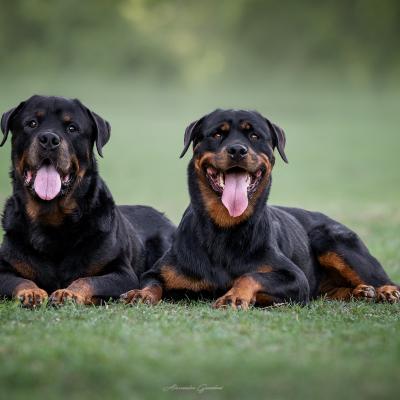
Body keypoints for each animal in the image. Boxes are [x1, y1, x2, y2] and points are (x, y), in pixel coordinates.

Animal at [0, 95, 175, 308]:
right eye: (31, 123)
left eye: (72, 128)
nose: (49, 139)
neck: (52, 220)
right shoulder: (3, 268)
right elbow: (20, 280)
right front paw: (31, 292)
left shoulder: (122, 274)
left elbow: (86, 279)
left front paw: (68, 293)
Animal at [122, 108, 400, 308]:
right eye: (217, 134)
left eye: (255, 136)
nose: (237, 149)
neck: (224, 229)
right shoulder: (159, 272)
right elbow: (152, 283)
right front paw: (140, 293)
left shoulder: (295, 278)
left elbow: (252, 275)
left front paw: (234, 296)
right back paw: (361, 292)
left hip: (333, 239)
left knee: (384, 279)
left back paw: (384, 291)